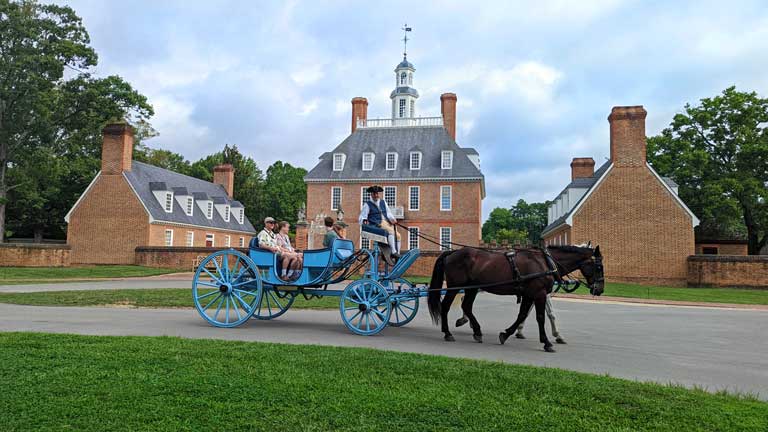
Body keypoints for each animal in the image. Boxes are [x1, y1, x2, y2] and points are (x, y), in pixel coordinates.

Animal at [428, 246, 604, 352]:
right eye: (598, 266)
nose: (600, 289)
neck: (545, 263)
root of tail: (452, 252)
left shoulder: (529, 294)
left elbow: (522, 315)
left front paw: (506, 334)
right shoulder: (539, 294)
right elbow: (540, 317)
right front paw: (547, 342)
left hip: (473, 288)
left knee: (466, 307)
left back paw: (476, 331)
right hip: (455, 286)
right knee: (446, 306)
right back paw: (448, 333)